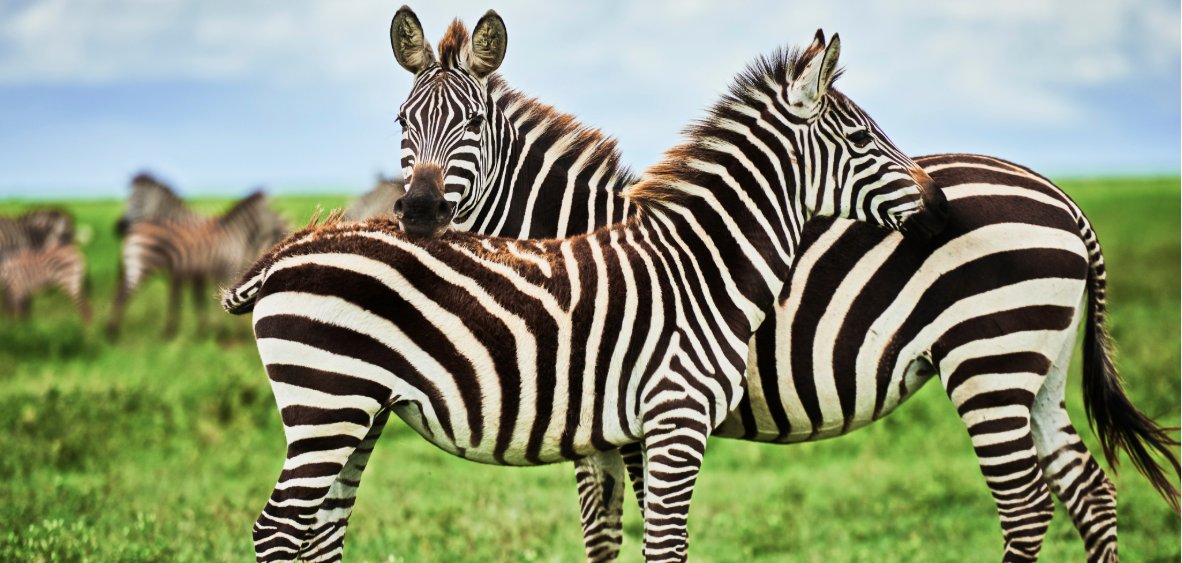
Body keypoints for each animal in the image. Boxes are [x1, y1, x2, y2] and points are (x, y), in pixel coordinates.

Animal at [107, 191, 288, 338]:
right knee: (123, 296)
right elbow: (223, 302)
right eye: (281, 229)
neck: (236, 234)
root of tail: (133, 231)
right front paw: (231, 333)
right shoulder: (226, 270)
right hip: (141, 266)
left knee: (118, 292)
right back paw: (113, 333)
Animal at [222, 17, 948, 563]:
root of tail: (283, 253)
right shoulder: (671, 418)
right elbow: (660, 544)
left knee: (318, 533)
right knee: (280, 531)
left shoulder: (625, 427)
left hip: (354, 411)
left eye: (473, 125)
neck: (702, 262)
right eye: (861, 137)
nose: (938, 205)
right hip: (330, 402)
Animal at [382, 12, 1179, 562]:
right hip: (1036, 366)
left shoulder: (627, 410)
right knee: (1090, 491)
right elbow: (602, 535)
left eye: (473, 122)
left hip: (988, 358)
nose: (417, 212)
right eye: (401, 120)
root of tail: (1064, 199)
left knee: (1027, 504)